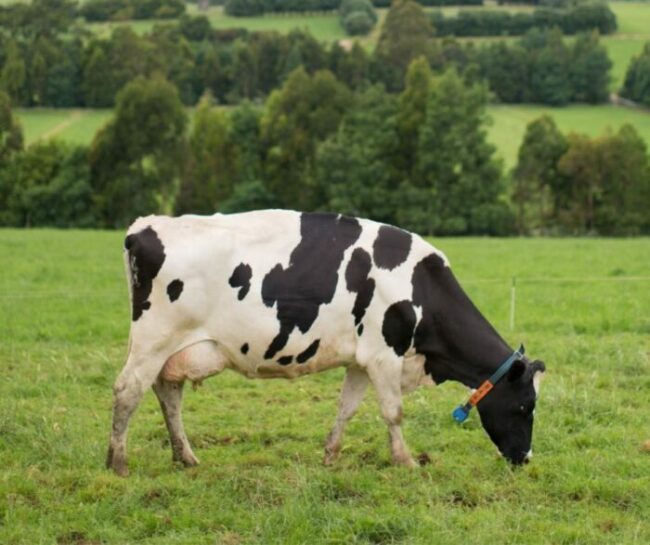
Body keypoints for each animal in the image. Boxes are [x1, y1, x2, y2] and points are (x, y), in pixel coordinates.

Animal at [106, 210, 545, 476]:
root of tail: (145, 226)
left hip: (174, 349)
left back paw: (185, 456)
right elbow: (393, 412)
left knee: (168, 393)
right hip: (154, 339)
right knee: (128, 390)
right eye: (525, 406)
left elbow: (347, 408)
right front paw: (405, 461)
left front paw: (331, 455)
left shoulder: (361, 359)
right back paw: (118, 462)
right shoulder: (385, 354)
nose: (525, 458)